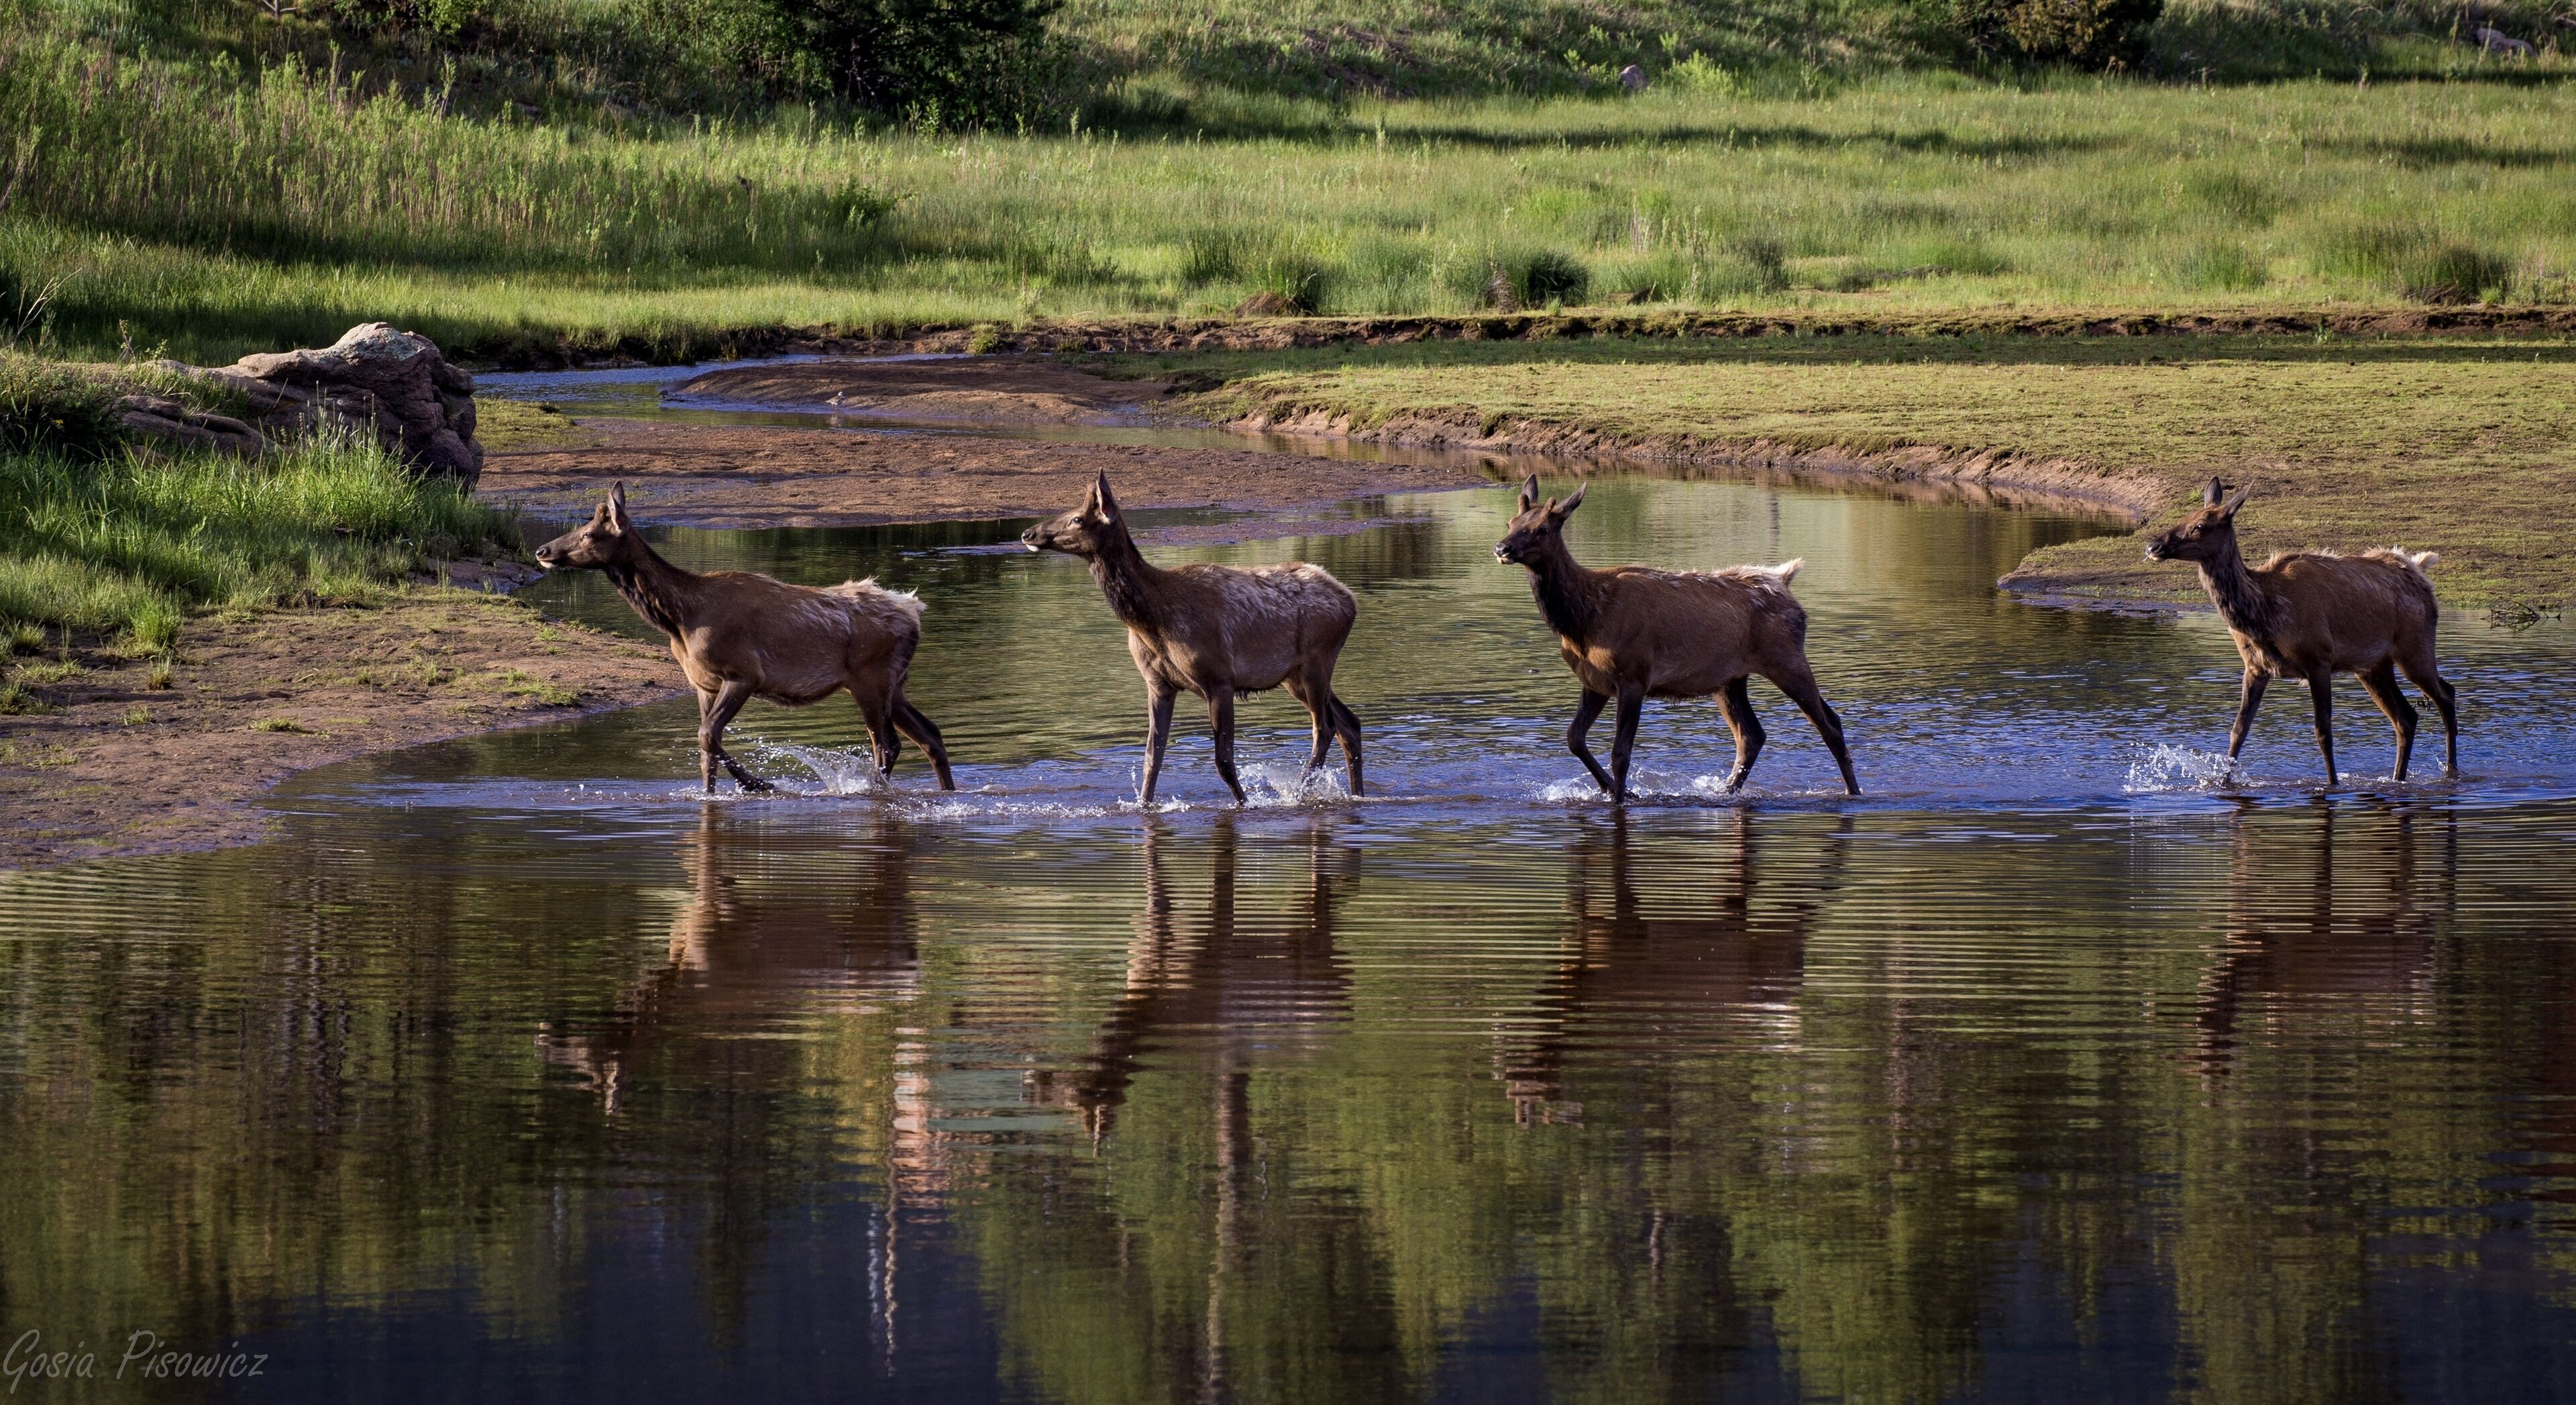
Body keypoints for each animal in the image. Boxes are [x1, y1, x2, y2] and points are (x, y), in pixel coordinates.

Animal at [533, 482, 955, 795]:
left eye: (589, 532)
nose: (542, 550)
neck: (679, 619)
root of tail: (914, 611)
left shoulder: (744, 674)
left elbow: (707, 737)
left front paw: (760, 782)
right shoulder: (702, 683)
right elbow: (706, 751)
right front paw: (714, 794)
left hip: (871, 679)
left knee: (887, 744)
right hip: (892, 684)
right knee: (930, 735)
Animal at [1020, 472, 1364, 805]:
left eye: (1077, 518)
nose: (1027, 534)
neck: (1152, 623)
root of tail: (1350, 599)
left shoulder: (1219, 681)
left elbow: (1223, 761)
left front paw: (1246, 804)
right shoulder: (1158, 685)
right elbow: (1152, 759)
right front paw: (1144, 806)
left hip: (1317, 662)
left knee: (1325, 728)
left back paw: (1300, 794)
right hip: (1293, 676)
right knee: (1349, 723)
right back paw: (1356, 793)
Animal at [1494, 475, 1860, 803]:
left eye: (1543, 528)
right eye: (1512, 522)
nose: (1502, 547)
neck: (1583, 621)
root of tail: (1784, 579)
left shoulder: (1634, 677)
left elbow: (1620, 753)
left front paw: (1620, 797)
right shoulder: (1594, 681)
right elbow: (1574, 738)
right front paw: (1616, 790)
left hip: (1786, 658)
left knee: (1829, 724)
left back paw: (1853, 793)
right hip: (1730, 679)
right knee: (1752, 735)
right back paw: (1725, 791)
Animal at [2144, 478, 2457, 785]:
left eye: (2200, 525)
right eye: (2184, 517)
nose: (2153, 547)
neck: (2263, 614)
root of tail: (2421, 573)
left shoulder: (2318, 659)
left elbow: (2323, 732)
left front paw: (2332, 784)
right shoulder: (2255, 668)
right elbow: (2238, 732)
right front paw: (2223, 783)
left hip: (2414, 648)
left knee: (2446, 694)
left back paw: (2451, 772)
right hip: (2373, 666)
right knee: (2406, 718)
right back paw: (2398, 778)